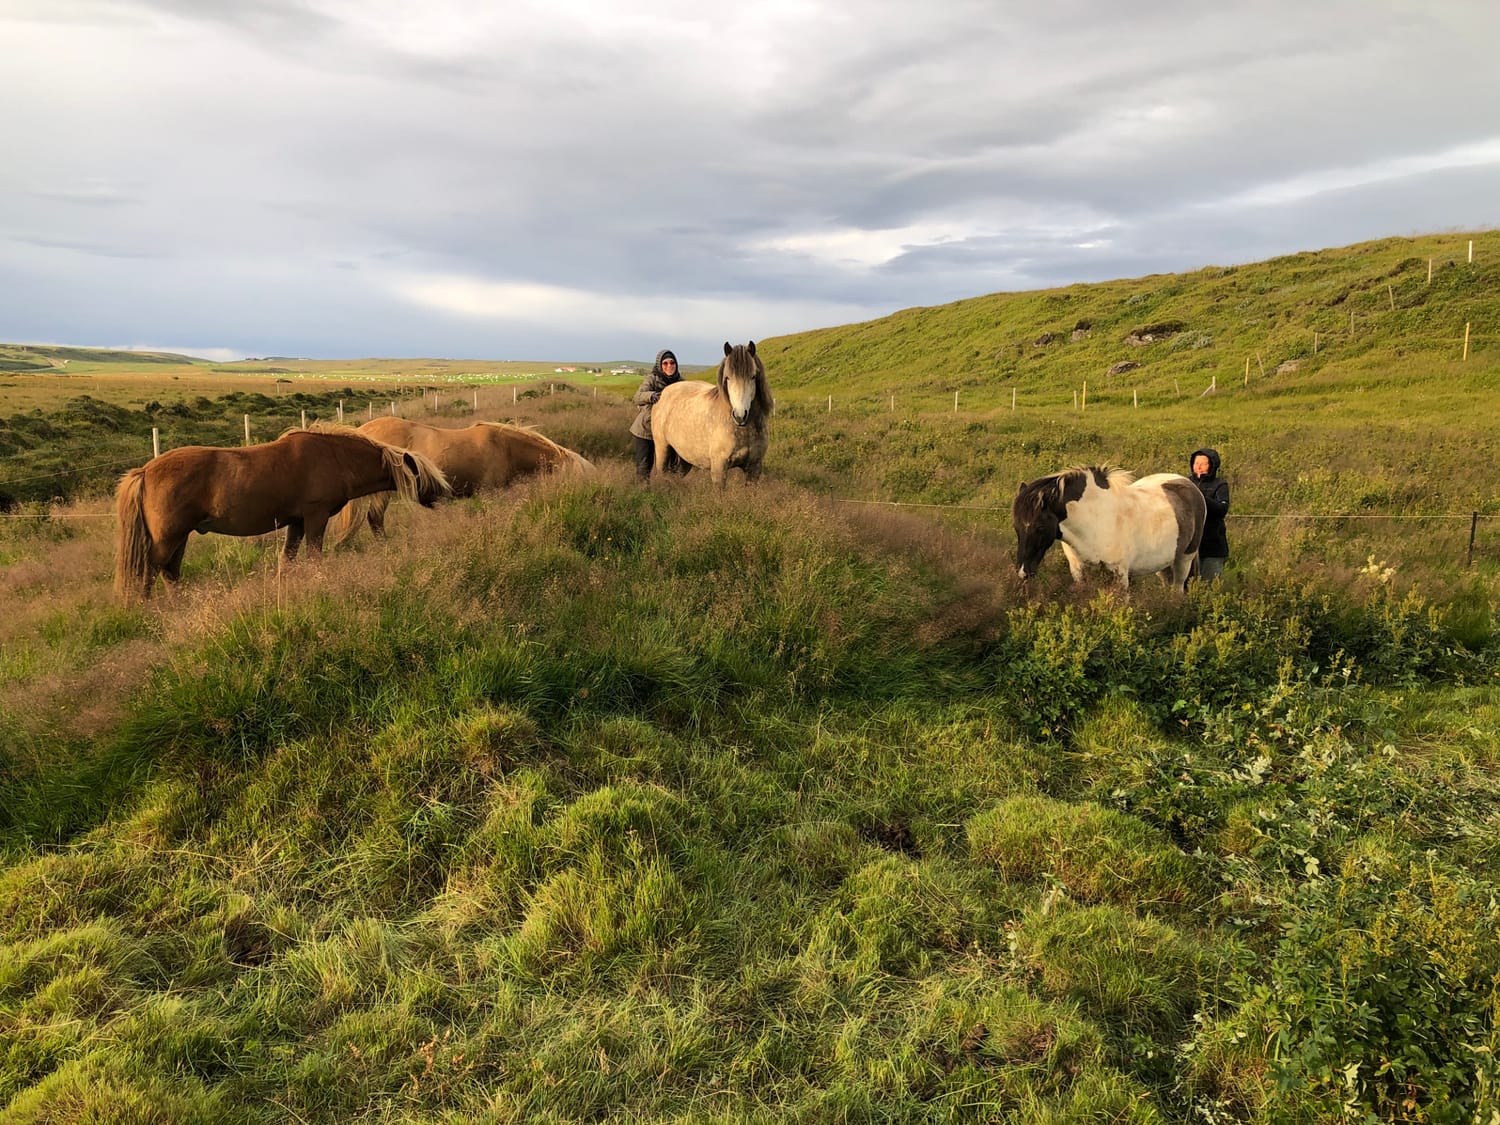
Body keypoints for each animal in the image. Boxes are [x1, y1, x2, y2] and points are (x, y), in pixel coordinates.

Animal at [114, 425, 450, 602]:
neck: (335, 458)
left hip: (180, 537)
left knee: (170, 571)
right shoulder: (315, 518)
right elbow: (314, 557)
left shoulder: (296, 523)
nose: (446, 496)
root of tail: (146, 471)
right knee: (151, 570)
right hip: (168, 537)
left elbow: (286, 560)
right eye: (424, 475)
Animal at [650, 341, 773, 486]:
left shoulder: (754, 469)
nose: (739, 416)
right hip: (662, 448)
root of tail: (662, 393)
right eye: (727, 378)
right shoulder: (719, 469)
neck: (744, 431)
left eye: (753, 376)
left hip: (684, 456)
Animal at [1012, 465, 1206, 590]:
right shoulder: (1079, 572)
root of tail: (1188, 484)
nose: (1023, 573)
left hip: (1184, 559)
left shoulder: (1119, 574)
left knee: (1177, 589)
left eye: (1039, 527)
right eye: (1016, 527)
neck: (1093, 519)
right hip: (1163, 562)